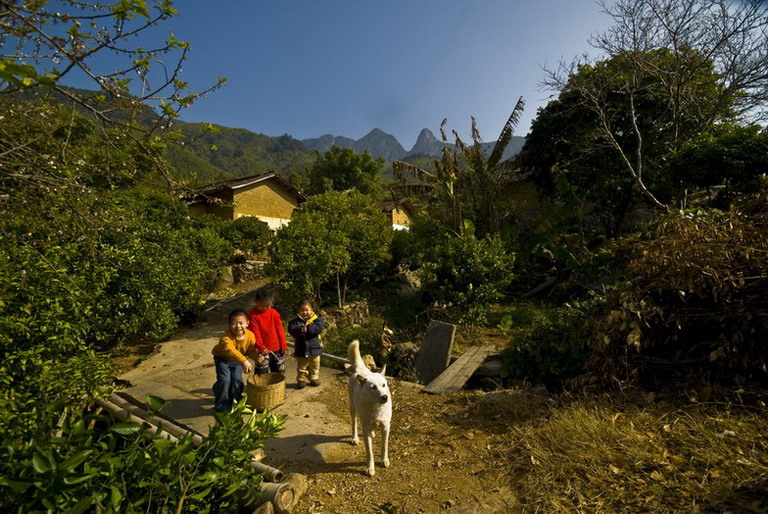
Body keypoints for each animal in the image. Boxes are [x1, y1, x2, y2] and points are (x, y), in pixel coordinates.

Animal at [350, 338, 392, 474]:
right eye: (373, 387)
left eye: (384, 385)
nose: (385, 397)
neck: (377, 409)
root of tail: (361, 370)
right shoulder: (366, 430)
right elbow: (370, 453)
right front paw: (370, 468)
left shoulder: (386, 428)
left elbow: (384, 447)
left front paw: (384, 460)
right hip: (353, 409)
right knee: (354, 423)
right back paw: (355, 438)